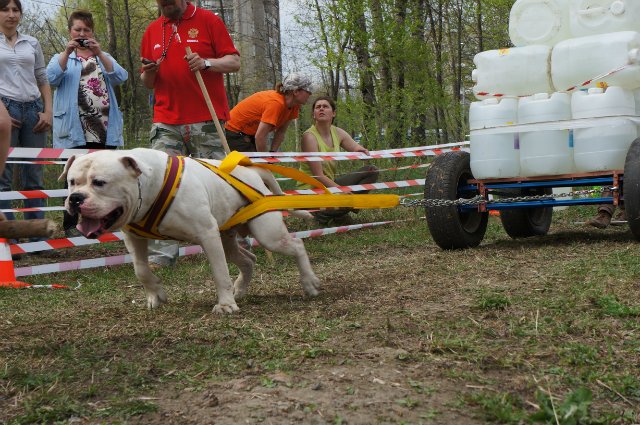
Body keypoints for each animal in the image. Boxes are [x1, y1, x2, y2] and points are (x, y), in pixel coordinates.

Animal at [60, 148, 320, 312]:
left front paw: (225, 304)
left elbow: (219, 273)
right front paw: (156, 295)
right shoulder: (133, 238)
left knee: (297, 245)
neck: (148, 186)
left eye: (100, 182)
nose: (75, 198)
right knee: (248, 260)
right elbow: (141, 270)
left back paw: (309, 283)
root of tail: (253, 170)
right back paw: (239, 289)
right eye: (72, 182)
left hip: (268, 235)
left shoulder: (207, 234)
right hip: (227, 239)